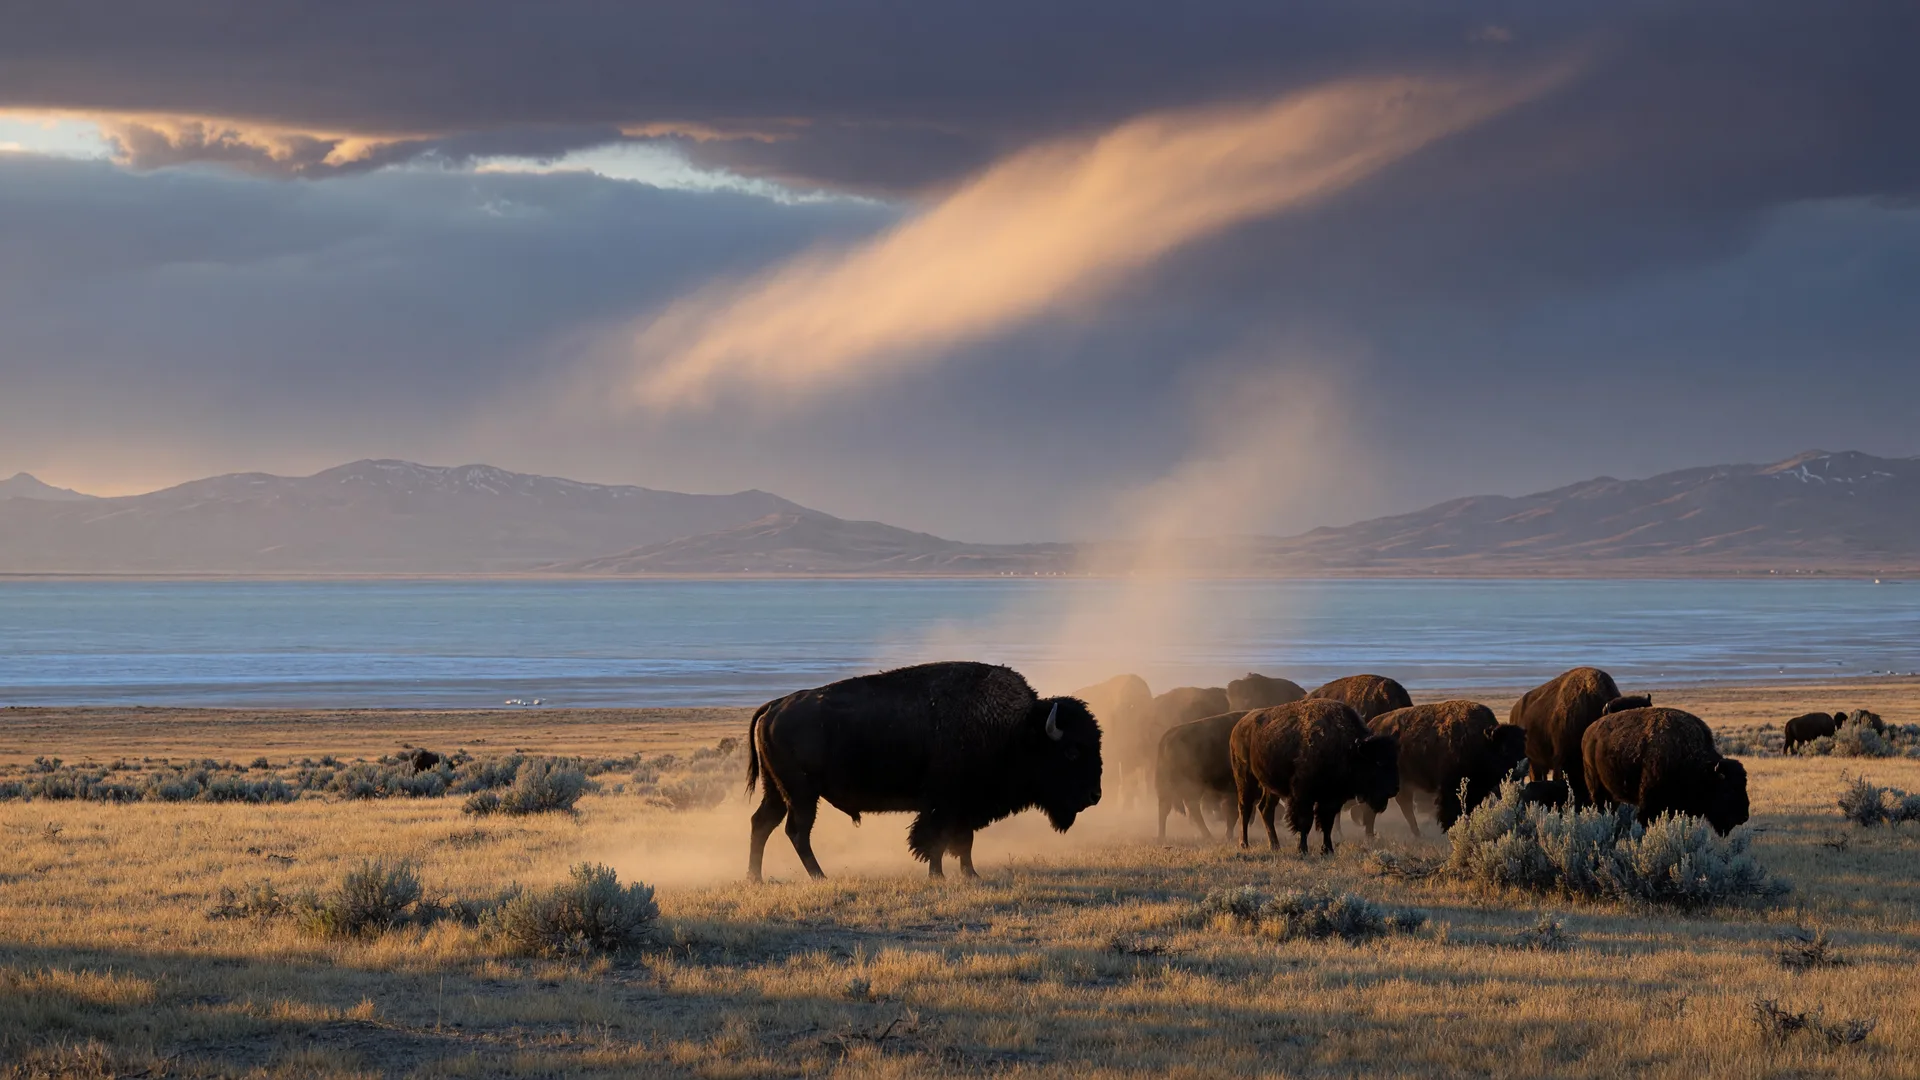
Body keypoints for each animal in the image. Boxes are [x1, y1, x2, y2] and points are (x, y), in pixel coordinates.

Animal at [746, 661, 1102, 881]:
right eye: (1072, 752)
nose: (1094, 795)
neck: (1017, 730)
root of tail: (774, 706)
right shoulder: (945, 805)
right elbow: (937, 840)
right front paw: (939, 875)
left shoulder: (962, 808)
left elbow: (962, 842)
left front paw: (969, 874)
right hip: (802, 795)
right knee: (796, 832)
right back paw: (819, 876)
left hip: (776, 791)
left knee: (762, 823)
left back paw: (756, 878)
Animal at [1231, 699, 1399, 855]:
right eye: (1378, 762)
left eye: (1394, 761)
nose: (1394, 790)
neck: (1349, 749)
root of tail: (1239, 726)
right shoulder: (1303, 796)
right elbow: (1305, 822)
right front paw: (1303, 850)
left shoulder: (1332, 799)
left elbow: (1327, 823)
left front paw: (1327, 849)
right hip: (1245, 779)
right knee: (1245, 808)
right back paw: (1244, 844)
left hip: (1270, 787)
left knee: (1266, 809)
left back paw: (1275, 845)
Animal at [1351, 701, 1529, 838]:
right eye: (1505, 750)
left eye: (1522, 747)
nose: (1523, 769)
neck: (1483, 741)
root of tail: (1371, 727)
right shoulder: (1450, 790)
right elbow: (1450, 812)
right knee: (1378, 810)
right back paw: (1372, 835)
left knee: (1403, 807)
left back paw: (1415, 834)